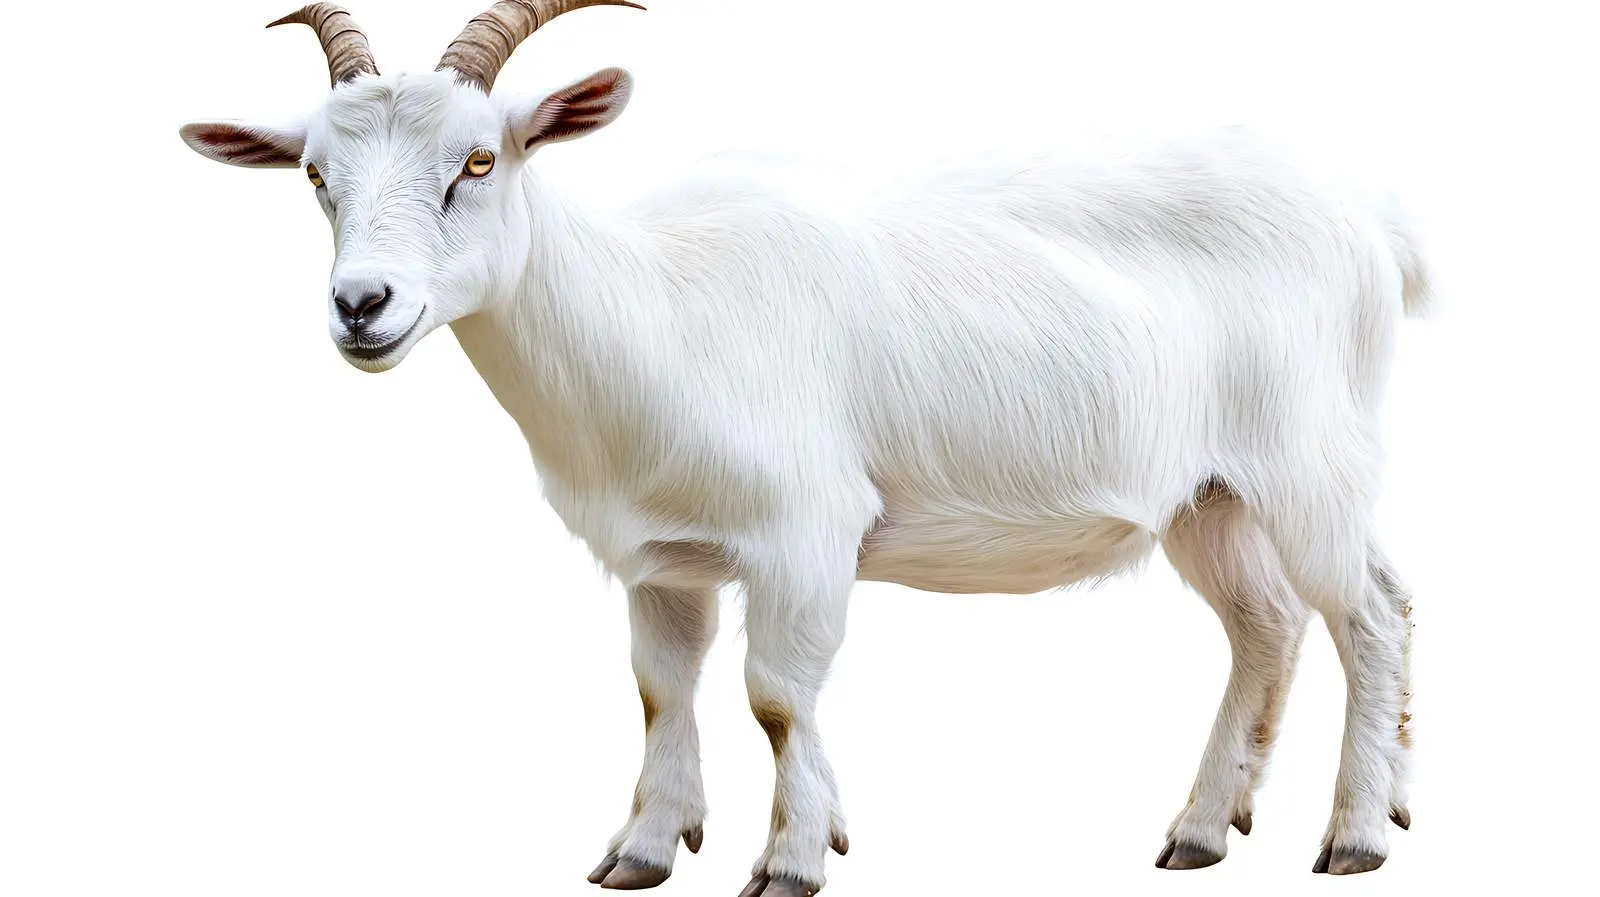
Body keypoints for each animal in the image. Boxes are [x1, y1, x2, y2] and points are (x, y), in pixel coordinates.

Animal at [179, 2, 1428, 890]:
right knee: (1265, 625)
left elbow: (776, 696)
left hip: (1311, 462)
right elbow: (659, 689)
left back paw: (1356, 836)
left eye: (479, 161)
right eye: (315, 176)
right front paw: (643, 850)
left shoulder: (805, 533)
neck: (654, 308)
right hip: (1206, 495)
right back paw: (1203, 829)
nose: (362, 306)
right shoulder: (661, 557)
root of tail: (1369, 222)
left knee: (1370, 613)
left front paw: (790, 859)